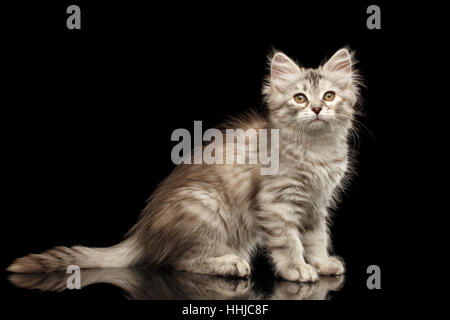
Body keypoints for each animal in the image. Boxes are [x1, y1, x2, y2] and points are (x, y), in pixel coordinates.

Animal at [7, 47, 362, 282]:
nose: (316, 109)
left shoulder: (315, 205)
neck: (315, 150)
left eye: (329, 96)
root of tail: (144, 233)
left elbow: (316, 238)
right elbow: (288, 241)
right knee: (175, 261)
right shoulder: (276, 203)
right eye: (300, 98)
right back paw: (228, 264)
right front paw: (296, 268)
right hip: (205, 206)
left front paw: (321, 263)